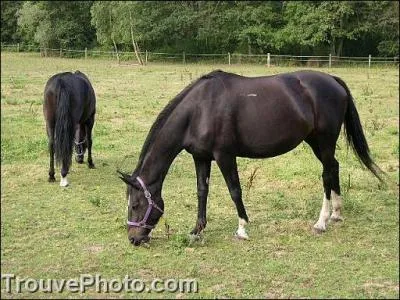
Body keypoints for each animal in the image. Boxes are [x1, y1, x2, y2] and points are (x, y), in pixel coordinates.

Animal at [119, 70, 384, 246]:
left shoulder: (225, 156)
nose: (133, 239)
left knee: (327, 173)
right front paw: (197, 230)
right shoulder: (201, 157)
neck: (200, 109)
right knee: (335, 168)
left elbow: (235, 190)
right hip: (316, 142)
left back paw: (321, 222)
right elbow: (202, 192)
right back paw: (337, 214)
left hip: (324, 141)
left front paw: (242, 229)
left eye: (135, 205)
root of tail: (333, 80)